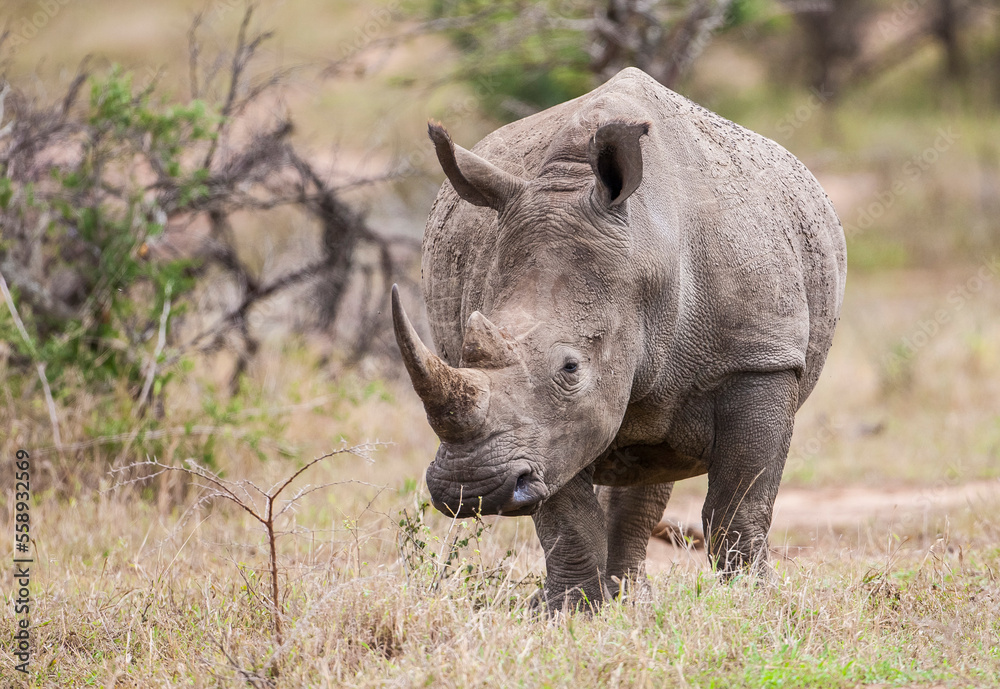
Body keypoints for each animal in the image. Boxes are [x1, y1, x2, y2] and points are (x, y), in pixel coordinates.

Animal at [392, 67, 846, 610]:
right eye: (462, 351)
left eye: (571, 368)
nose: (469, 488)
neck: (648, 252)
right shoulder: (546, 431)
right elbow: (566, 516)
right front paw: (570, 612)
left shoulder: (761, 357)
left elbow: (739, 504)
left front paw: (754, 604)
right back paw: (623, 601)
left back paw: (632, 600)